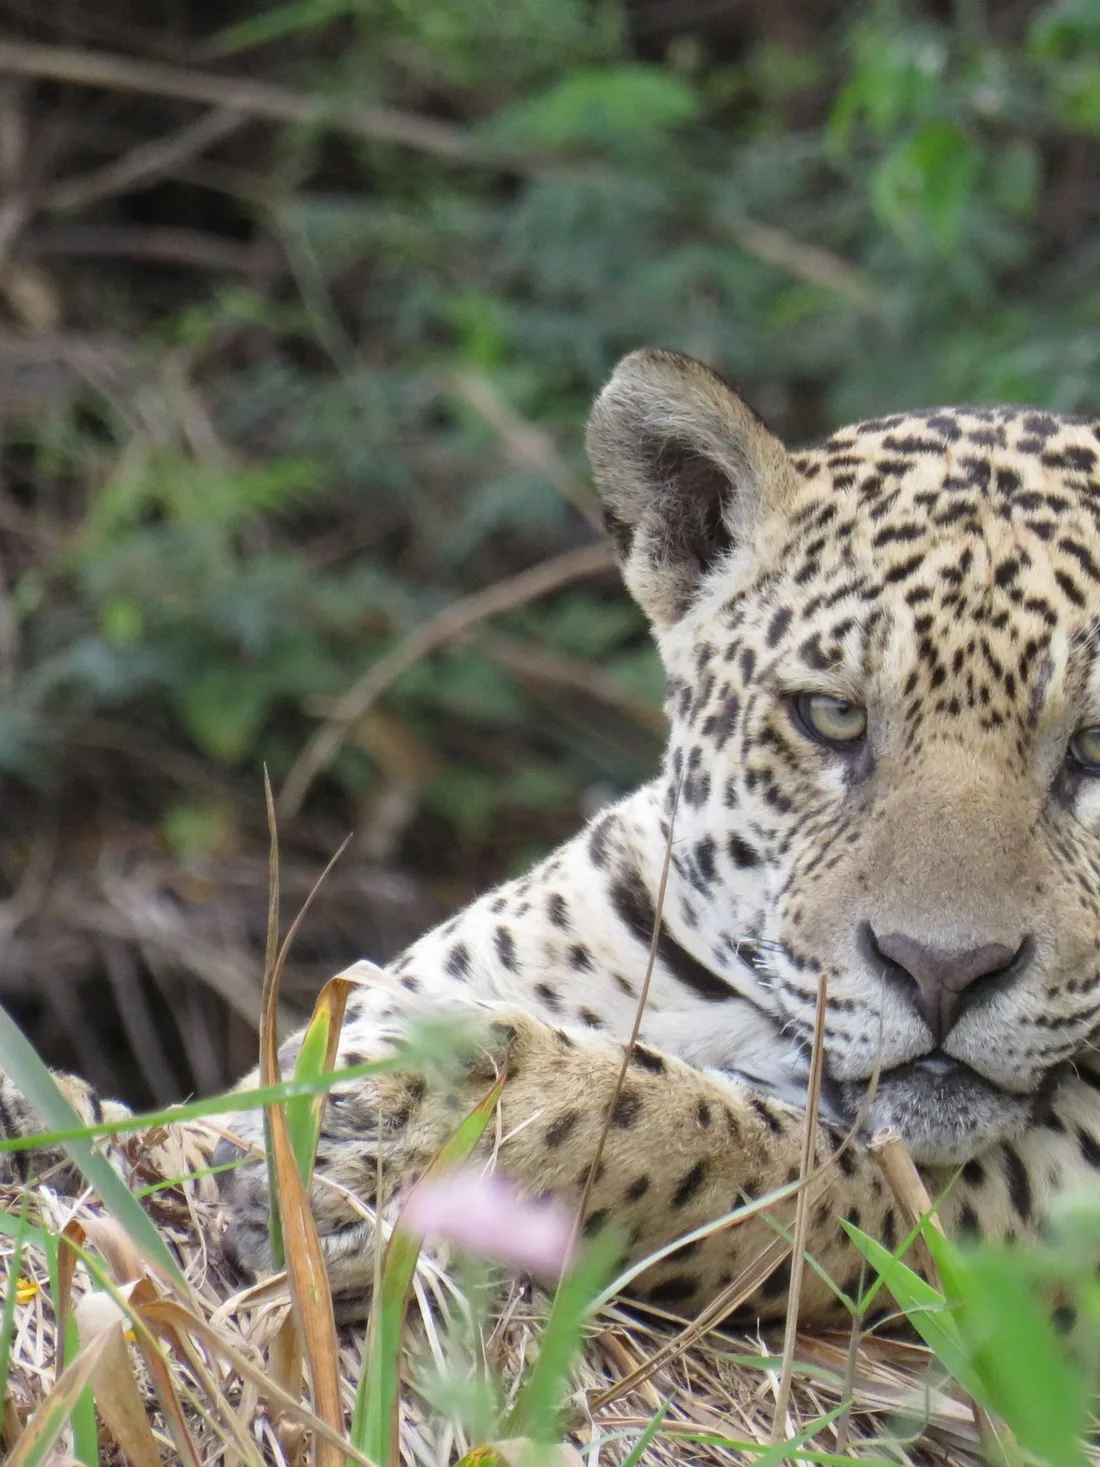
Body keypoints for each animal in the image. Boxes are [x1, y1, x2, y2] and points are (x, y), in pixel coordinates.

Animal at [7, 345, 1100, 1328]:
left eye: (1092, 744)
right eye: (830, 716)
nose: (940, 972)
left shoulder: (1036, 1200)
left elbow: (731, 1144)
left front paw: (404, 1128)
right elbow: (166, 1132)